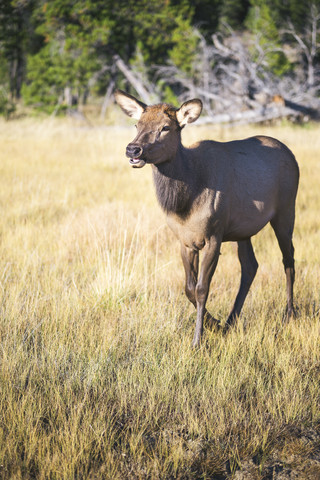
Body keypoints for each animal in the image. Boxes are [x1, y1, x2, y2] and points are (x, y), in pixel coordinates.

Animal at [115, 89, 300, 344]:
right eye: (137, 124)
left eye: (166, 127)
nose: (133, 149)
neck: (186, 201)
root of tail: (291, 154)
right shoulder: (185, 241)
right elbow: (188, 288)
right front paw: (214, 324)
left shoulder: (214, 236)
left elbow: (203, 288)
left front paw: (198, 340)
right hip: (243, 230)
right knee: (250, 266)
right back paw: (231, 320)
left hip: (285, 209)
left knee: (288, 258)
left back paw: (289, 313)